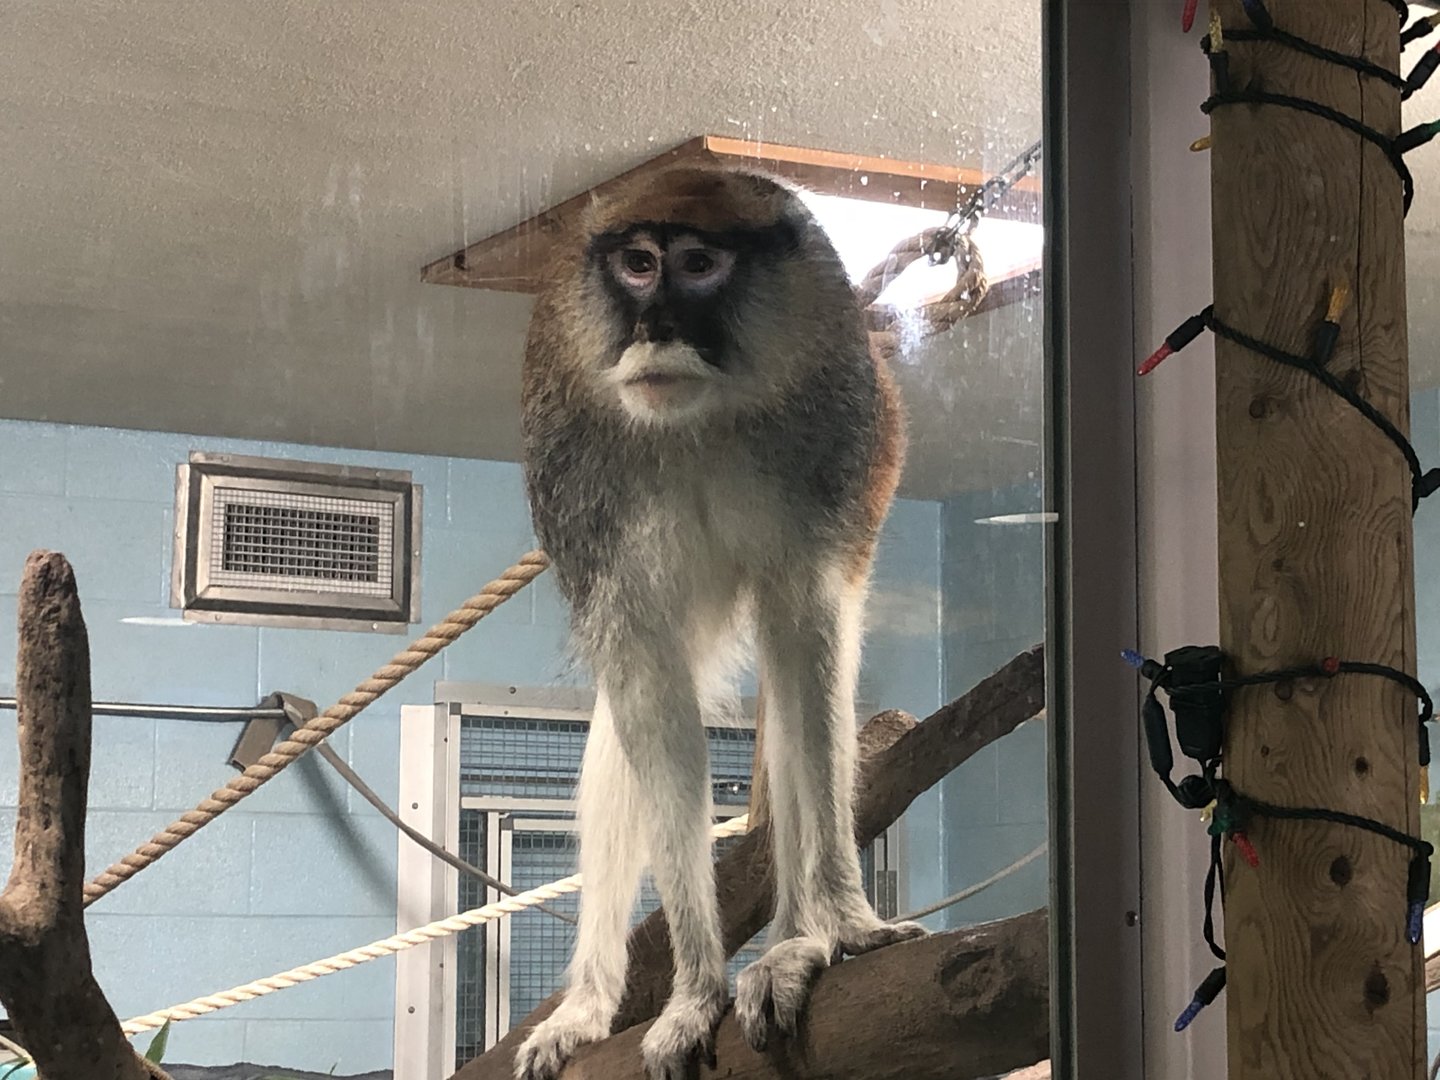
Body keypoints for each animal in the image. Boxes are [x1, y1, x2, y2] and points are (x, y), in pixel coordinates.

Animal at [514, 163, 928, 1080]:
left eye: (699, 264)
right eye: (637, 264)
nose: (655, 328)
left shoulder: (829, 446)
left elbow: (808, 641)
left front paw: (843, 927)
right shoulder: (577, 479)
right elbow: (650, 699)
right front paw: (695, 991)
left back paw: (795, 940)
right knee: (621, 737)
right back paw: (591, 998)